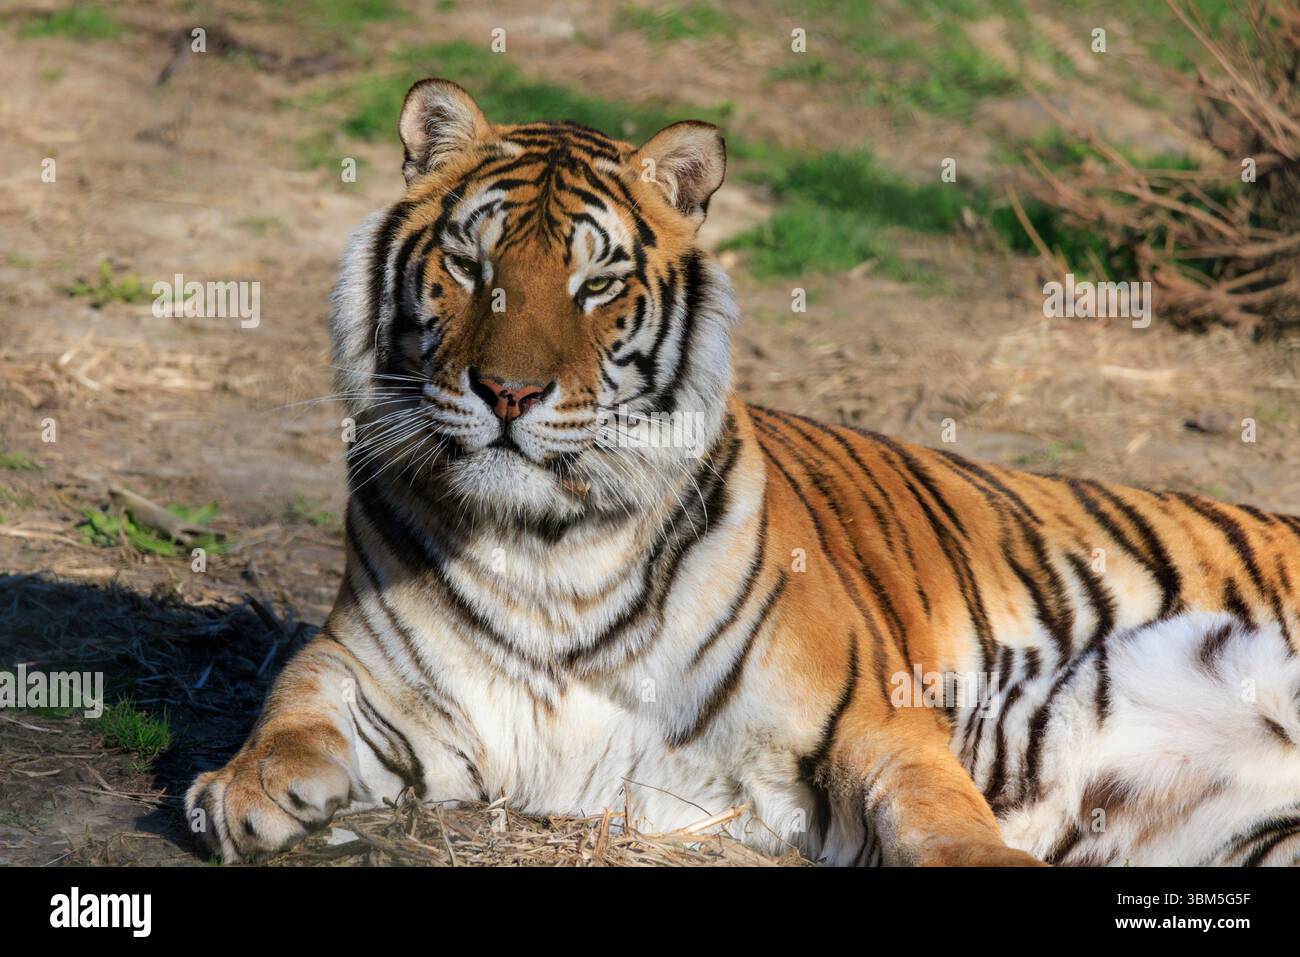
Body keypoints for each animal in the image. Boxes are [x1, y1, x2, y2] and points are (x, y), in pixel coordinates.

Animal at [186, 78, 1300, 866]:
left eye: (596, 284)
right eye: (470, 265)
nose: (508, 393)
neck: (547, 546)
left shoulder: (872, 720)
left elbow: (944, 821)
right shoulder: (374, 675)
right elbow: (293, 703)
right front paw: (243, 789)